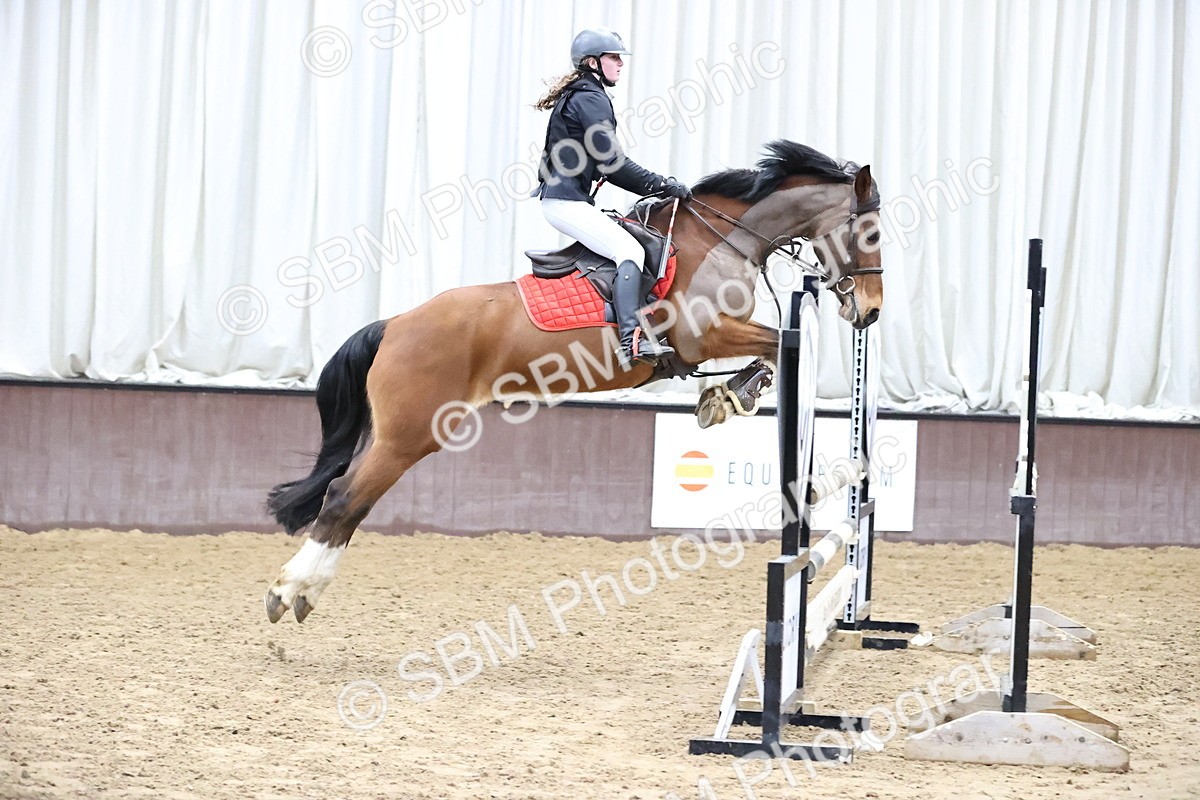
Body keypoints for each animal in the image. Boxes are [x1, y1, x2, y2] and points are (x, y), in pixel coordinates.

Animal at [264, 140, 884, 623]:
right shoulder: (704, 337)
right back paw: (291, 591)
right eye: (870, 233)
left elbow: (774, 352)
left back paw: (301, 590)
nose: (871, 312)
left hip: (398, 431)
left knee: (347, 495)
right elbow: (774, 347)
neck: (721, 240)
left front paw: (723, 396)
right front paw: (728, 395)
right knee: (346, 497)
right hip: (411, 435)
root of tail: (395, 323)